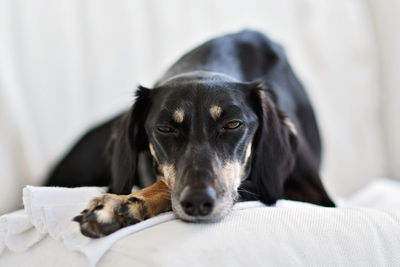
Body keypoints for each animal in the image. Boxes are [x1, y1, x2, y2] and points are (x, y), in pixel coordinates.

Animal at [46, 29, 334, 239]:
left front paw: (123, 204)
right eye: (164, 128)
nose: (197, 202)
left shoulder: (312, 194)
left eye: (233, 124)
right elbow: (166, 183)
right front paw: (125, 202)